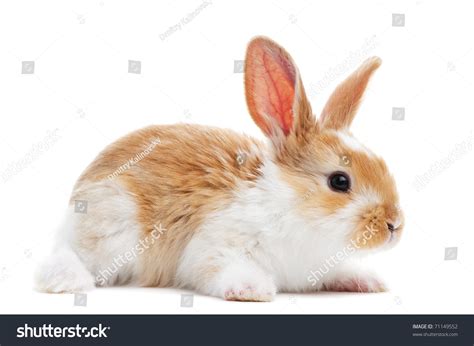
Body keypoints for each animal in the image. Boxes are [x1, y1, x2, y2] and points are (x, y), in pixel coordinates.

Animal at [34, 35, 404, 300]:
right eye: (340, 181)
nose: (395, 225)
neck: (288, 204)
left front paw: (368, 281)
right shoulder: (216, 248)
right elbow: (217, 269)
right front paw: (252, 290)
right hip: (112, 230)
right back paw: (67, 282)